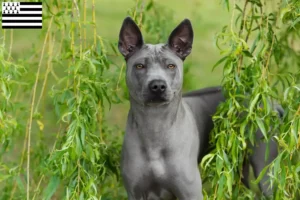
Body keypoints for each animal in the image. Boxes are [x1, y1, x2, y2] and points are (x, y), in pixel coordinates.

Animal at [118, 16, 278, 200]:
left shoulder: (190, 192)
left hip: (265, 172)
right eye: (139, 66)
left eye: (171, 66)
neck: (155, 126)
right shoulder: (136, 193)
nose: (157, 85)